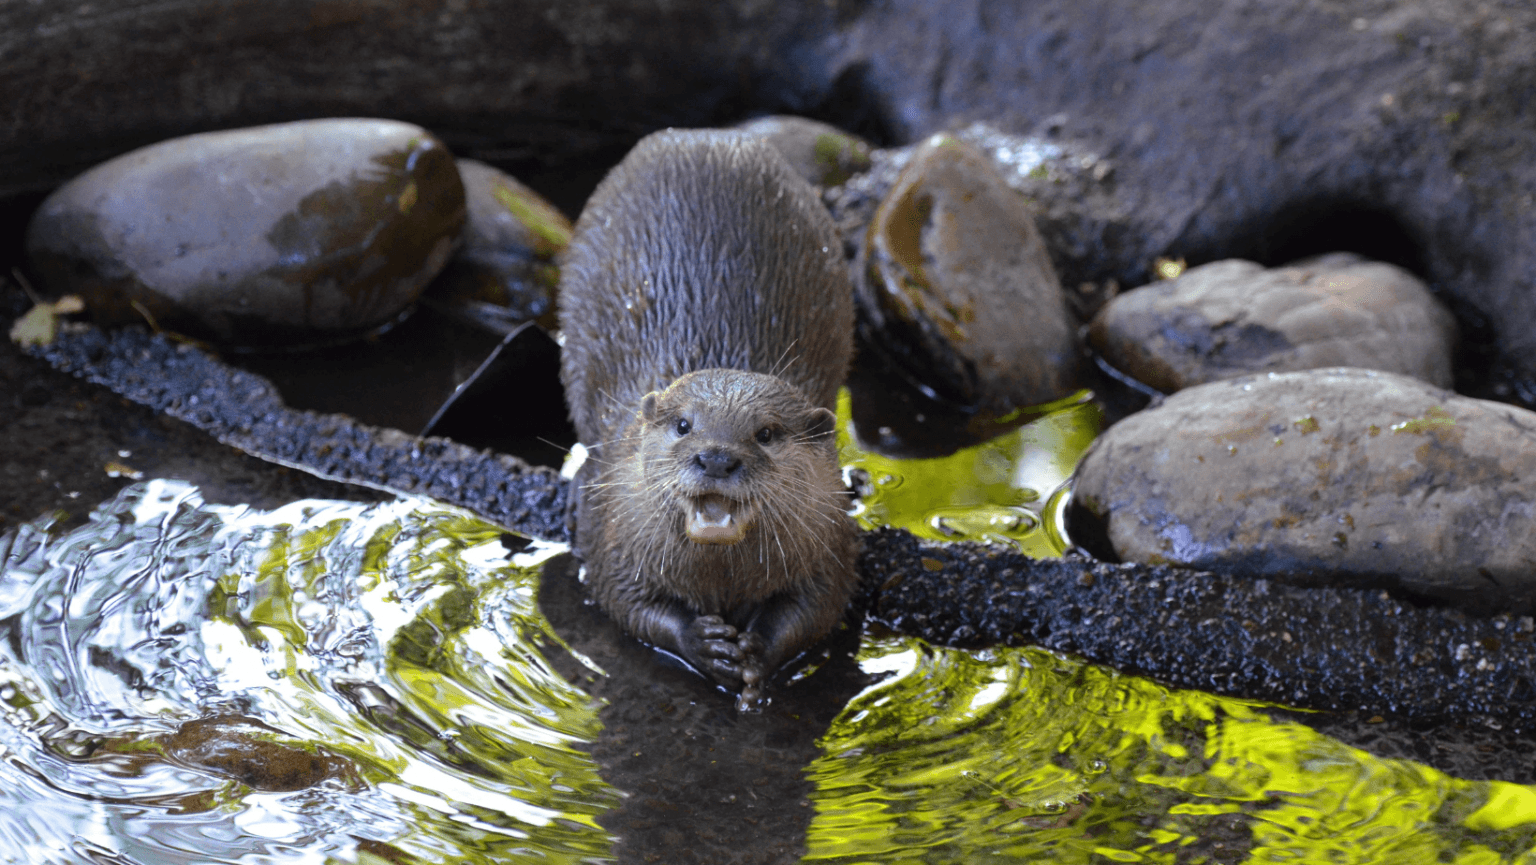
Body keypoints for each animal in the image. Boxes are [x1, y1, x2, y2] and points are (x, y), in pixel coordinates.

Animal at [558, 128, 858, 709]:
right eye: (683, 425)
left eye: (766, 433)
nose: (717, 457)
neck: (721, 580)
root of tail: (708, 136)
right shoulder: (612, 530)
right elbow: (620, 599)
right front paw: (702, 645)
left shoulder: (831, 539)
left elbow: (819, 607)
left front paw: (758, 652)